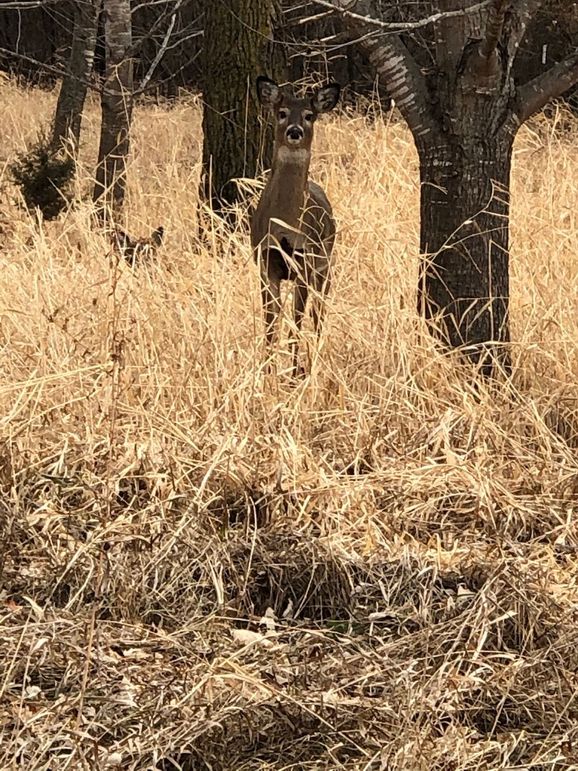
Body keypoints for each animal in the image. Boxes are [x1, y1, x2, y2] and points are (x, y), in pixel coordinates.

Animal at [251, 77, 340, 378]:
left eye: (309, 115)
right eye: (282, 112)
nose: (294, 131)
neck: (284, 225)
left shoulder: (304, 262)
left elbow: (297, 318)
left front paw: (293, 371)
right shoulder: (265, 260)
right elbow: (270, 321)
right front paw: (266, 370)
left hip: (324, 266)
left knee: (318, 313)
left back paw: (314, 359)